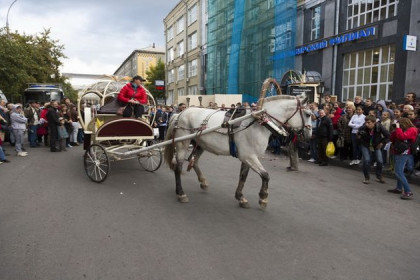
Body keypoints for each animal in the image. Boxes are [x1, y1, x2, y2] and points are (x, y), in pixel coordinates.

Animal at [164, 95, 312, 208]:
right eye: (308, 114)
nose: (309, 135)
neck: (258, 122)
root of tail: (180, 113)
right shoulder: (249, 156)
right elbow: (265, 175)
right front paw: (263, 197)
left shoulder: (248, 157)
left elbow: (243, 177)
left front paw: (240, 197)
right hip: (182, 143)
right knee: (178, 167)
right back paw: (181, 193)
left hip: (201, 144)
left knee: (193, 161)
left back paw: (203, 182)